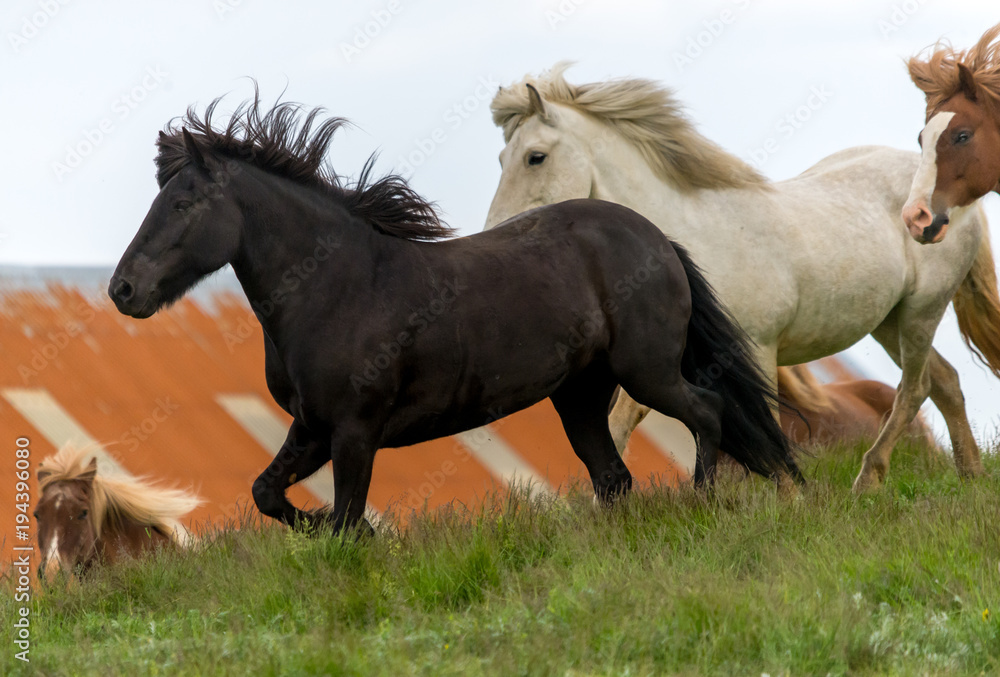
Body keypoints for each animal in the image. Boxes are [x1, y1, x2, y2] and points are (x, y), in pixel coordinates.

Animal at [108, 94, 802, 535]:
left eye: (183, 202)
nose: (123, 290)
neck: (335, 286)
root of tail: (659, 240)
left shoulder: (355, 431)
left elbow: (344, 520)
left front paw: (358, 542)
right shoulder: (312, 427)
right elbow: (268, 494)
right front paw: (336, 529)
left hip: (646, 370)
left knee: (705, 413)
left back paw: (703, 501)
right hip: (579, 395)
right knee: (614, 477)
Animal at [484, 64, 1000, 494]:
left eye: (534, 157)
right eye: (500, 159)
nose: (496, 233)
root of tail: (943, 200)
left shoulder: (756, 350)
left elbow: (762, 423)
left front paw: (788, 499)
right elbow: (620, 424)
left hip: (921, 311)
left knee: (915, 388)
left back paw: (867, 481)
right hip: (889, 322)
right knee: (945, 381)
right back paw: (970, 478)